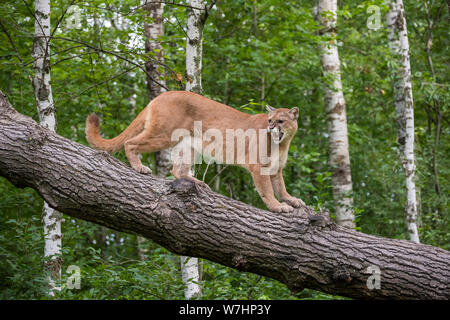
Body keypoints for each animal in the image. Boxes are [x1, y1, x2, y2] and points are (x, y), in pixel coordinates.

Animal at [85, 90, 302, 212]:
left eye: (280, 121)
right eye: (269, 120)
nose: (271, 127)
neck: (282, 143)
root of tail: (160, 96)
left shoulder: (275, 169)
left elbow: (281, 188)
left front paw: (292, 201)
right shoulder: (259, 166)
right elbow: (267, 191)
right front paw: (277, 207)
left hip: (187, 146)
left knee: (177, 170)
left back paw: (197, 182)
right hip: (164, 134)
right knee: (130, 143)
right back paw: (140, 168)